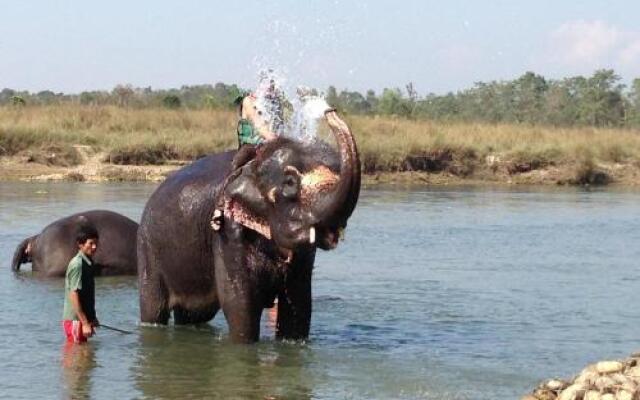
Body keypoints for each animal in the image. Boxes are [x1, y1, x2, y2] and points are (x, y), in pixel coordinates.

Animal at [138, 111, 360, 342]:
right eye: (290, 183)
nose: (329, 112)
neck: (255, 163)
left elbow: (299, 305)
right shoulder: (228, 232)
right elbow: (240, 304)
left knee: (194, 314)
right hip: (147, 249)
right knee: (154, 308)